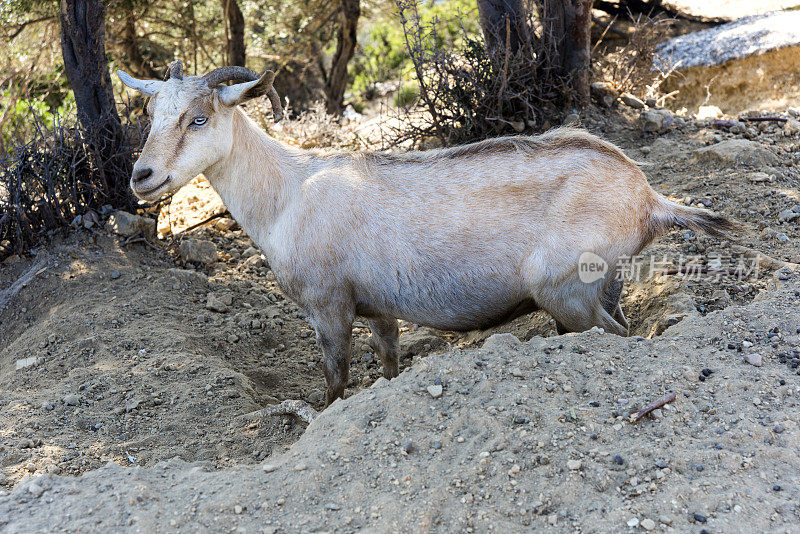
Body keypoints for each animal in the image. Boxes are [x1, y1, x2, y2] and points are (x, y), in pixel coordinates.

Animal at [115, 62, 736, 404]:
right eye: (150, 116)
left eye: (198, 118)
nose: (142, 176)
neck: (288, 192)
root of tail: (647, 197)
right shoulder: (378, 308)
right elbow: (388, 362)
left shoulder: (328, 305)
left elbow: (335, 383)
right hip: (604, 285)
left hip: (567, 289)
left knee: (614, 335)